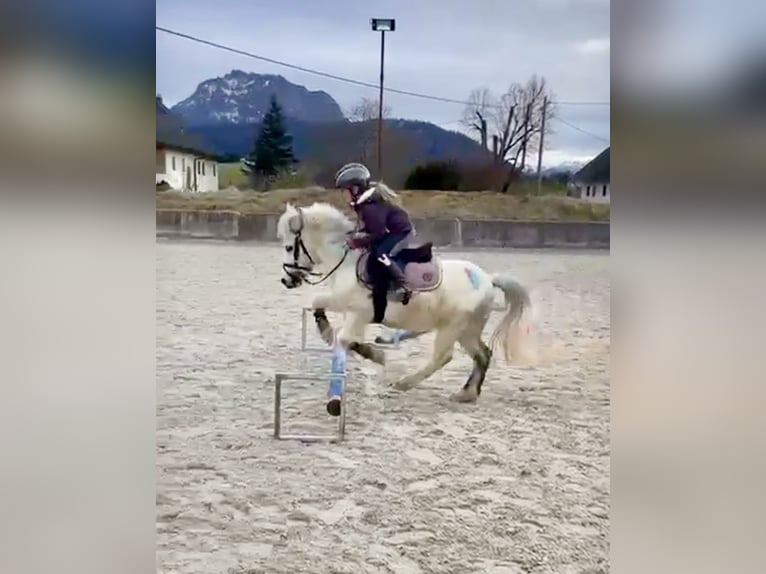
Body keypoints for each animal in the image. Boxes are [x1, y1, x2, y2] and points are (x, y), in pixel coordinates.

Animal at [280, 198, 536, 404]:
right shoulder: (347, 308)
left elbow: (343, 338)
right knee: (483, 355)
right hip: (468, 330)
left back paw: (406, 383)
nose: (286, 280)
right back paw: (467, 394)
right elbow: (321, 307)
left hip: (453, 327)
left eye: (289, 247)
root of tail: (488, 279)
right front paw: (365, 349)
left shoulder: (358, 313)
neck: (347, 261)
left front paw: (372, 353)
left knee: (444, 357)